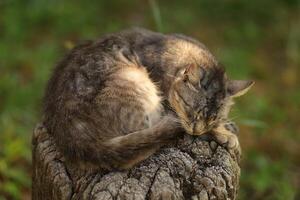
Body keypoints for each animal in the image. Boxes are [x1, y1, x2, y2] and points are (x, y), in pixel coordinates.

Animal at [42, 27, 253, 170]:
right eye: (189, 107)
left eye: (213, 118)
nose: (196, 129)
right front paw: (225, 134)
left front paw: (224, 127)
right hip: (135, 81)